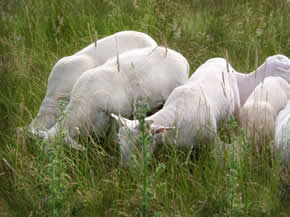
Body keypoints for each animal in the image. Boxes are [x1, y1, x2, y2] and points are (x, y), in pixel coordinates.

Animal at [112, 57, 241, 164]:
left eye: (141, 143)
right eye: (119, 140)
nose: (127, 169)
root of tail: (221, 59)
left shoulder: (209, 144)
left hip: (236, 108)